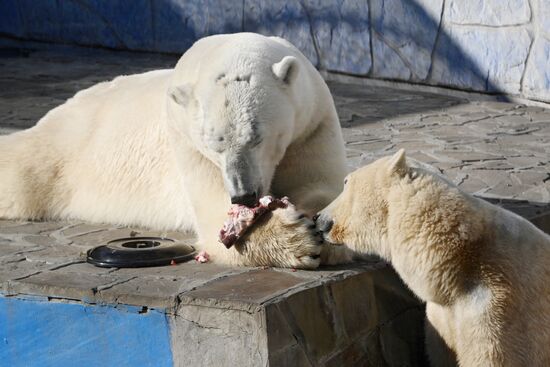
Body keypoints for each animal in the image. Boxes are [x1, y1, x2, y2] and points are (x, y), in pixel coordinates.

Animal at [1, 33, 354, 268]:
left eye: (257, 137)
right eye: (214, 144)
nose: (244, 195)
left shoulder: (313, 120)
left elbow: (322, 184)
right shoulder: (186, 142)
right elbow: (213, 215)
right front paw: (296, 239)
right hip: (62, 151)